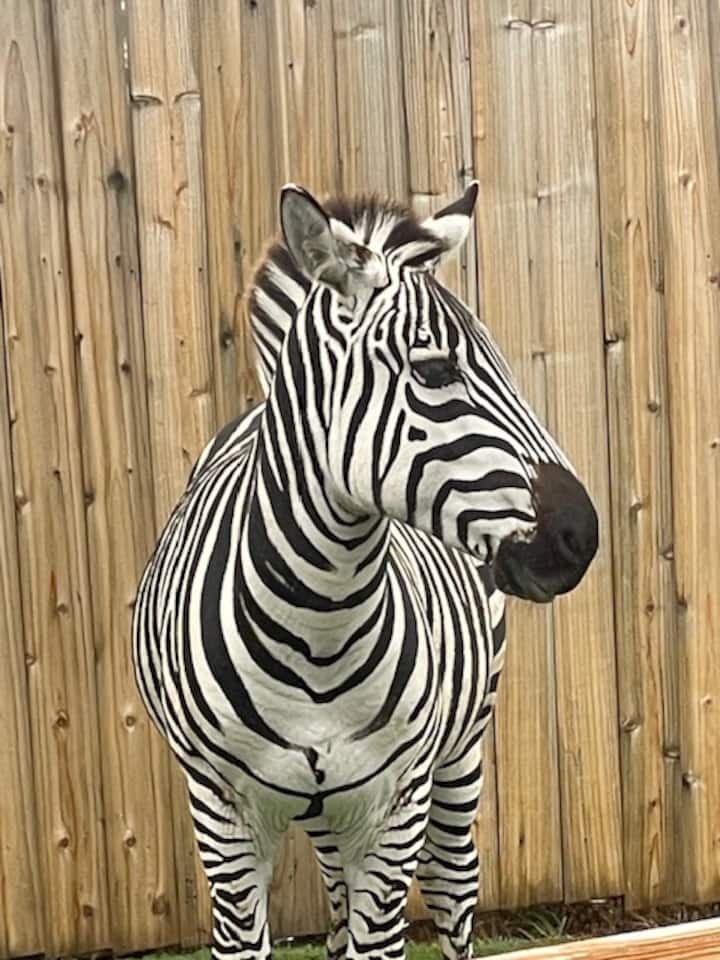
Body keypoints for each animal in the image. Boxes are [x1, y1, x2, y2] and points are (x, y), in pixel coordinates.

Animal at [132, 181, 598, 960]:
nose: (581, 537)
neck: (316, 626)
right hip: (325, 813)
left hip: (458, 755)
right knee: (337, 903)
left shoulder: (392, 808)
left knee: (454, 890)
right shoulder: (223, 817)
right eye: (436, 370)